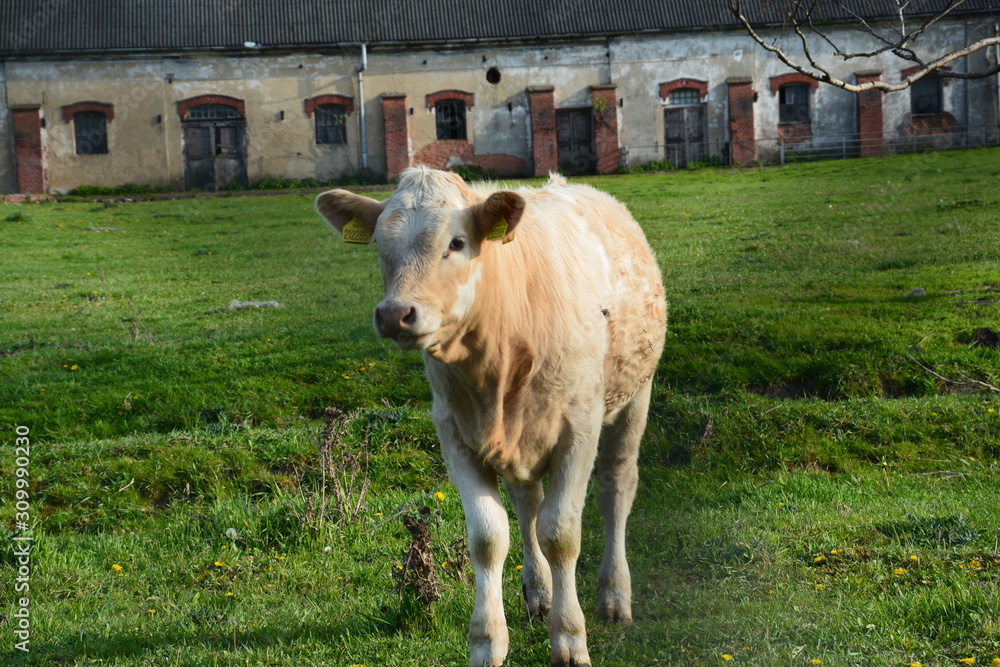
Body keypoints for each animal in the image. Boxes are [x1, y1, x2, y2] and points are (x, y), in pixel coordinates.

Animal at [316, 167, 666, 667]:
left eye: (457, 242)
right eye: (381, 244)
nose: (395, 314)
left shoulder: (578, 429)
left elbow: (561, 532)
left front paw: (570, 639)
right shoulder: (455, 434)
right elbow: (487, 536)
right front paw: (486, 641)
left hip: (635, 395)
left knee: (616, 488)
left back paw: (615, 596)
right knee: (527, 503)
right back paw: (539, 594)